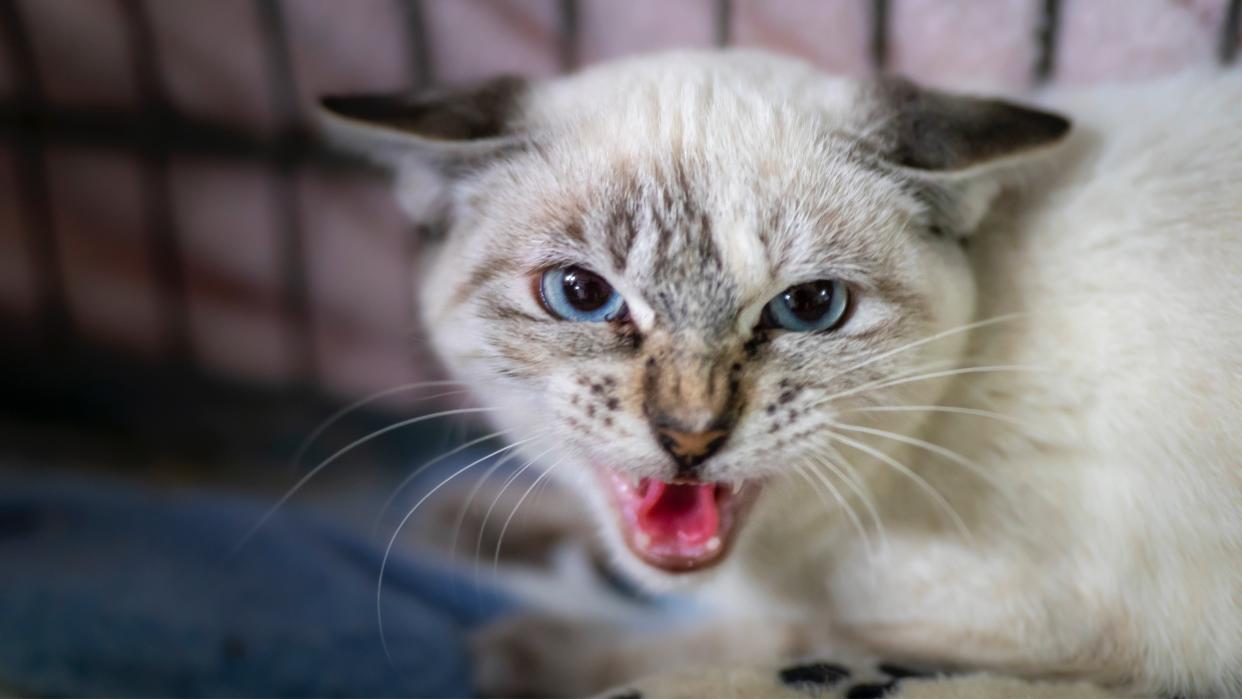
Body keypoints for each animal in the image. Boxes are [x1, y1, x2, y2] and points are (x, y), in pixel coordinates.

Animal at [320, 50, 1242, 699]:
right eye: (581, 294)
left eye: (808, 306)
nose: (690, 435)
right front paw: (458, 516)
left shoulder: (1055, 638)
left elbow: (776, 641)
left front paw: (526, 649)